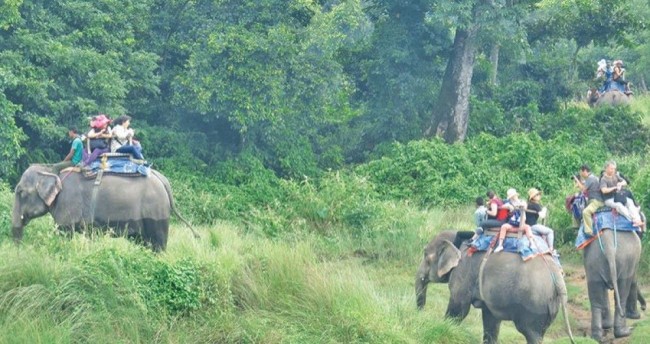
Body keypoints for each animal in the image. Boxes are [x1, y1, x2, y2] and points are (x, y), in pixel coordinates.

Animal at [11, 164, 196, 250]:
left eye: (20, 192)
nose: (20, 250)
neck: (51, 170)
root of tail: (163, 180)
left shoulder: (68, 203)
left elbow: (64, 233)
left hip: (156, 210)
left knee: (157, 243)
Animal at [416, 230, 572, 344]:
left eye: (425, 255)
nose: (421, 313)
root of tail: (558, 277)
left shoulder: (463, 272)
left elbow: (458, 309)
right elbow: (491, 320)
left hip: (534, 305)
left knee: (530, 333)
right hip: (550, 306)